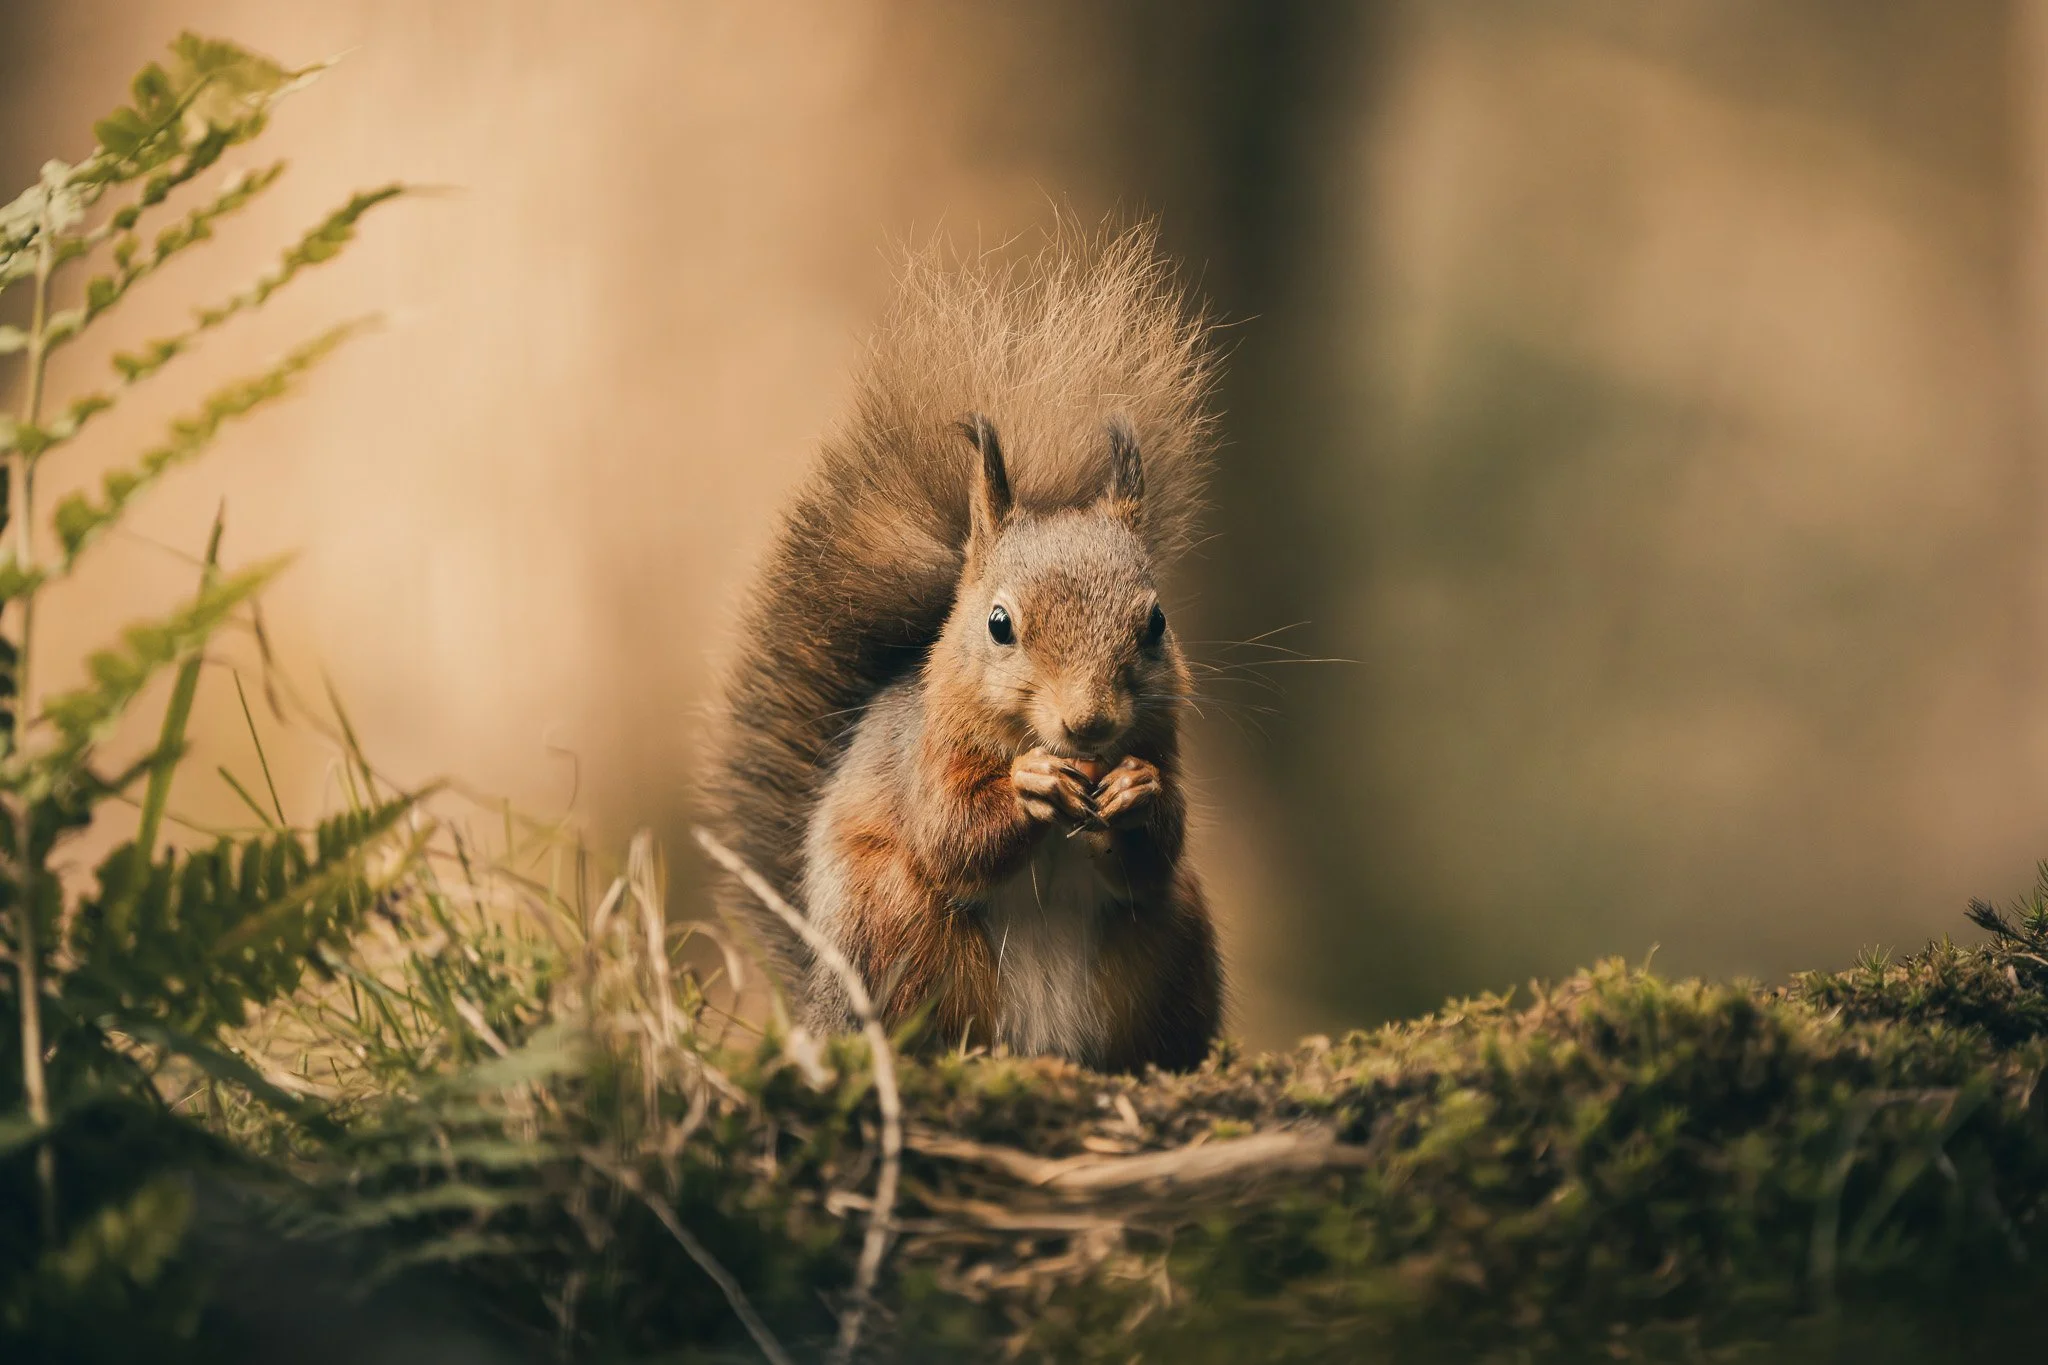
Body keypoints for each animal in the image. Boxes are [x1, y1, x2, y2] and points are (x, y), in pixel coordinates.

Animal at [703, 225, 1223, 1073]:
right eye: (999, 623)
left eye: (1156, 624)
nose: (1088, 725)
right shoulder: (929, 754)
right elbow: (948, 834)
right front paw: (1030, 783)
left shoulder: (1164, 741)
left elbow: (1158, 848)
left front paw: (1136, 790)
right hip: (895, 924)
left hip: (1175, 934)